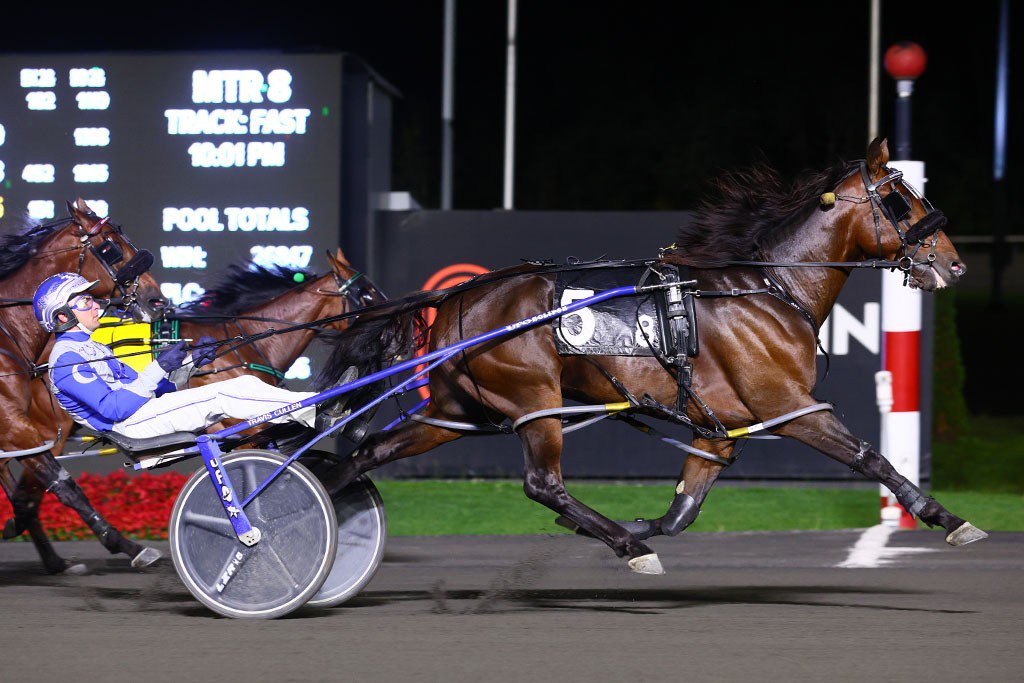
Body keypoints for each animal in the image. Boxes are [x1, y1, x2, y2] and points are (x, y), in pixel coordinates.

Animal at [317, 141, 983, 573]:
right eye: (899, 199)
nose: (954, 264)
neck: (766, 288)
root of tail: (459, 296)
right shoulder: (789, 406)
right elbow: (870, 457)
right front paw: (946, 517)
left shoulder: (719, 430)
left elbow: (683, 509)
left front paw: (639, 525)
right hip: (534, 401)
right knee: (542, 483)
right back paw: (627, 547)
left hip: (459, 411)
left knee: (368, 454)